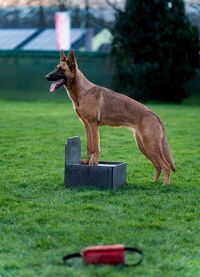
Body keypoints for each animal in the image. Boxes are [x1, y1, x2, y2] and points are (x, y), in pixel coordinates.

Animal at [45, 49, 175, 184]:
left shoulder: (93, 125)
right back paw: (154, 182)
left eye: (61, 70)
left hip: (150, 145)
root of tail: (155, 115)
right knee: (158, 165)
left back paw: (165, 185)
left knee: (166, 166)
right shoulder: (86, 125)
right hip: (143, 146)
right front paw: (86, 162)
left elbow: (95, 147)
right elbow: (89, 146)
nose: (46, 77)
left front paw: (94, 164)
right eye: (56, 68)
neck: (83, 92)